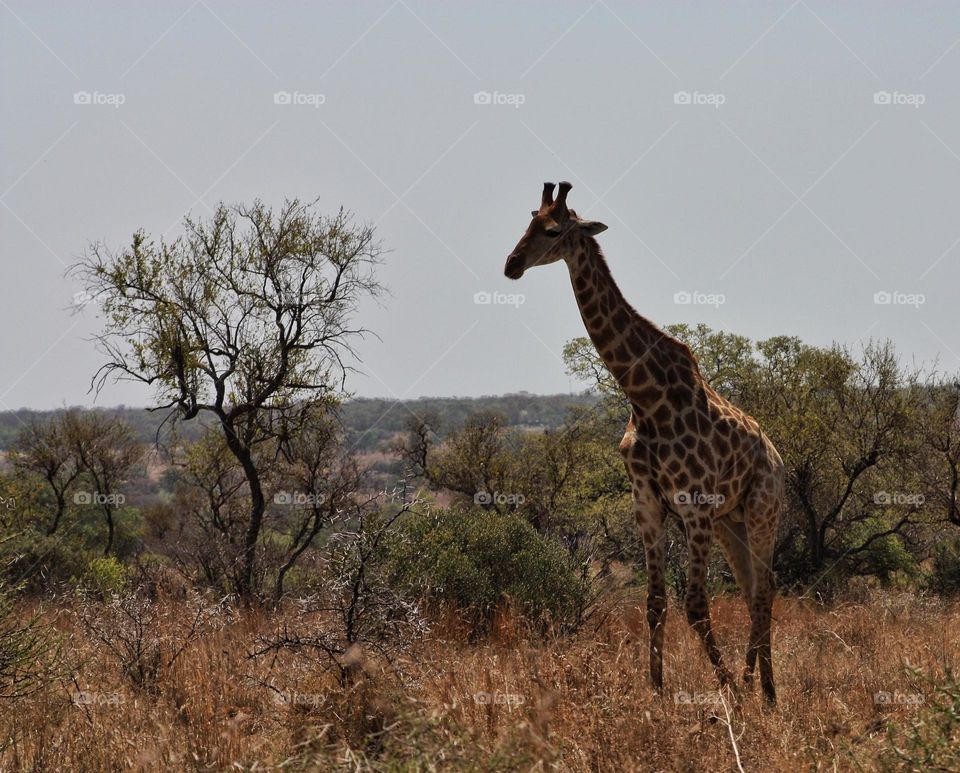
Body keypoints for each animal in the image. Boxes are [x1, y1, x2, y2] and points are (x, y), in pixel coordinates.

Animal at [503, 181, 784, 703]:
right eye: (528, 221)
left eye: (552, 230)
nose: (510, 265)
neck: (645, 396)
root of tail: (776, 455)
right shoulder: (648, 503)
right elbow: (655, 602)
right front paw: (656, 692)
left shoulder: (693, 504)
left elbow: (695, 604)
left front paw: (727, 691)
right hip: (730, 522)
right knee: (752, 587)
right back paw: (757, 683)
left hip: (761, 509)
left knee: (764, 589)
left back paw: (765, 692)